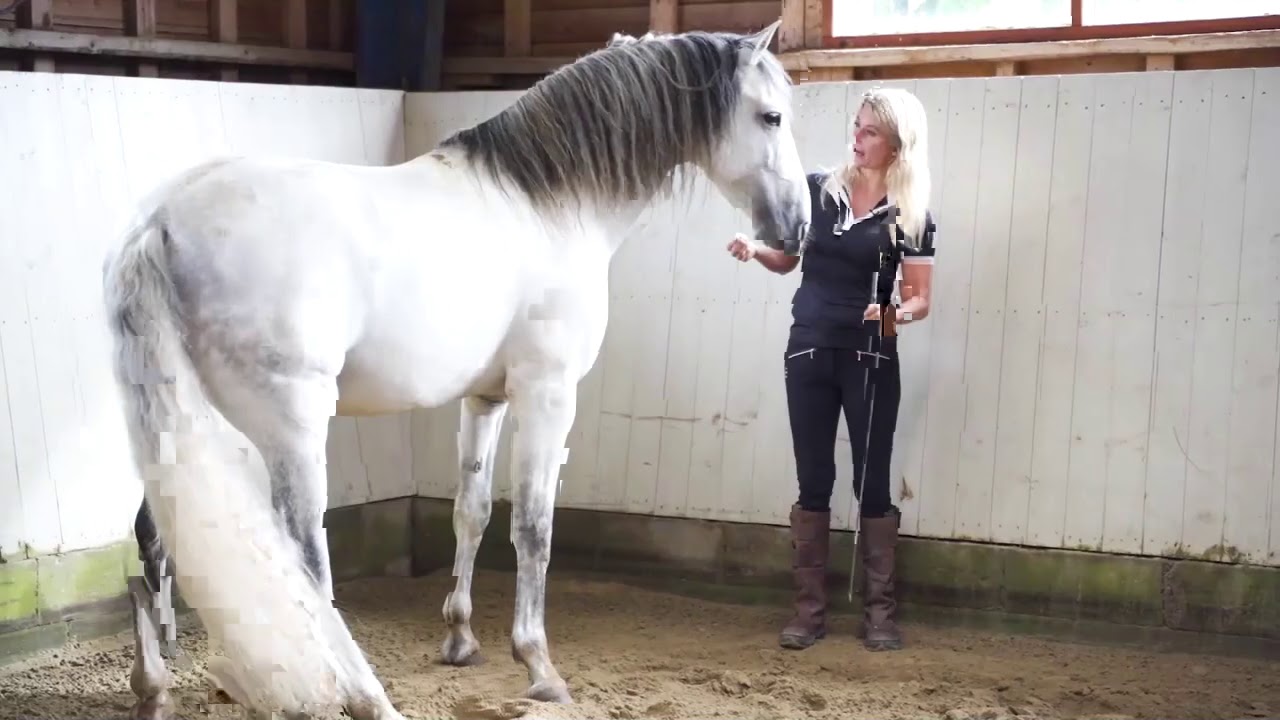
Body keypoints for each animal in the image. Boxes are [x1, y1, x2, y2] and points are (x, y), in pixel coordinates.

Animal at [102, 19, 809, 720]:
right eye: (771, 116)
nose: (797, 227)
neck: (547, 204)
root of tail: (160, 222)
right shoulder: (547, 393)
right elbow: (534, 526)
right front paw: (539, 665)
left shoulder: (485, 398)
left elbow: (472, 512)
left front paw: (461, 638)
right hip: (290, 428)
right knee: (301, 562)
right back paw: (364, 698)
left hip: (191, 420)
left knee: (154, 540)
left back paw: (157, 686)